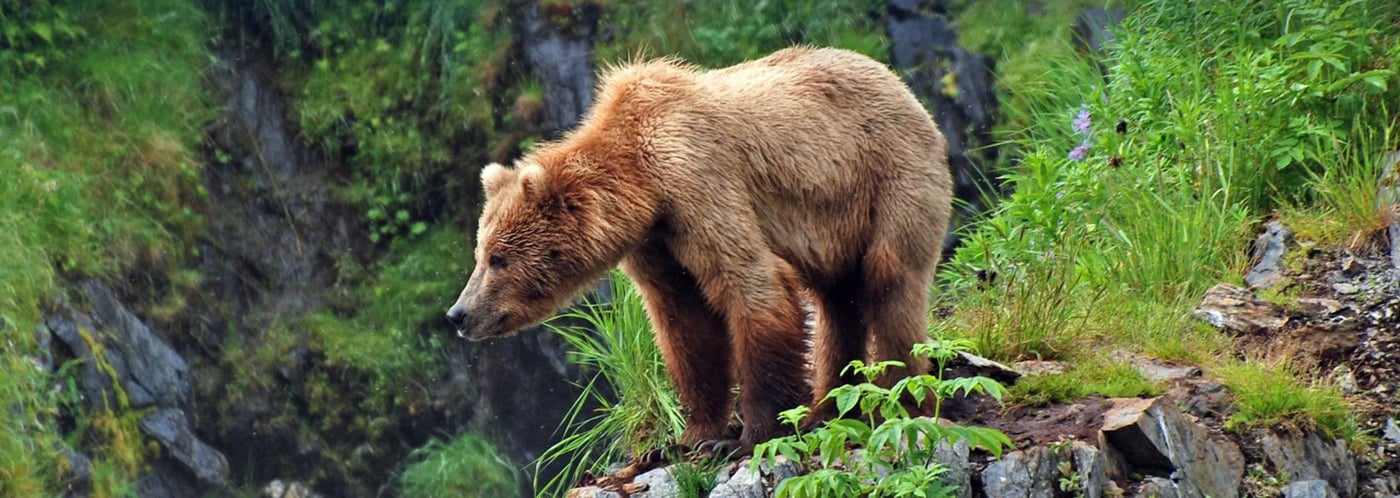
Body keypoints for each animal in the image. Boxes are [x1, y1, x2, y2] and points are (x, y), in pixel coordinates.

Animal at [447, 46, 952, 455]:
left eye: (497, 258)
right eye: (481, 253)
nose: (459, 314)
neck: (644, 186)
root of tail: (900, 84)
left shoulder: (699, 182)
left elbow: (753, 286)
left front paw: (747, 436)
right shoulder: (657, 242)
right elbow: (685, 323)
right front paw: (690, 436)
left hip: (889, 178)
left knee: (890, 281)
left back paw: (903, 397)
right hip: (836, 227)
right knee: (836, 302)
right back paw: (826, 409)